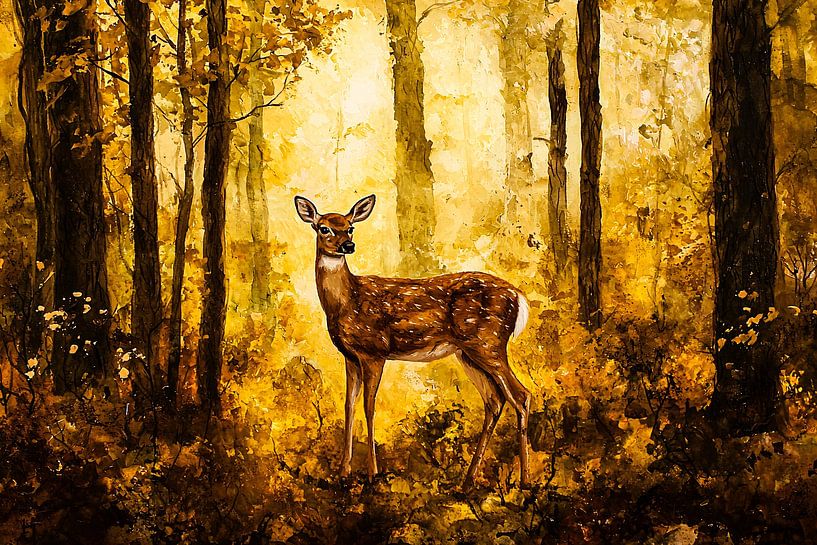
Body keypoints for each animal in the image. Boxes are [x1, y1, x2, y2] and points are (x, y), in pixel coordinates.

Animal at [295, 194, 532, 488]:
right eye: (324, 228)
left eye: (350, 227)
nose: (348, 245)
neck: (346, 302)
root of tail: (518, 297)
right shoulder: (350, 356)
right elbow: (349, 406)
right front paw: (343, 473)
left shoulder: (375, 351)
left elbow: (369, 407)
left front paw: (373, 473)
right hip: (468, 353)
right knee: (495, 401)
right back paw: (467, 481)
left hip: (489, 343)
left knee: (521, 396)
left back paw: (524, 481)